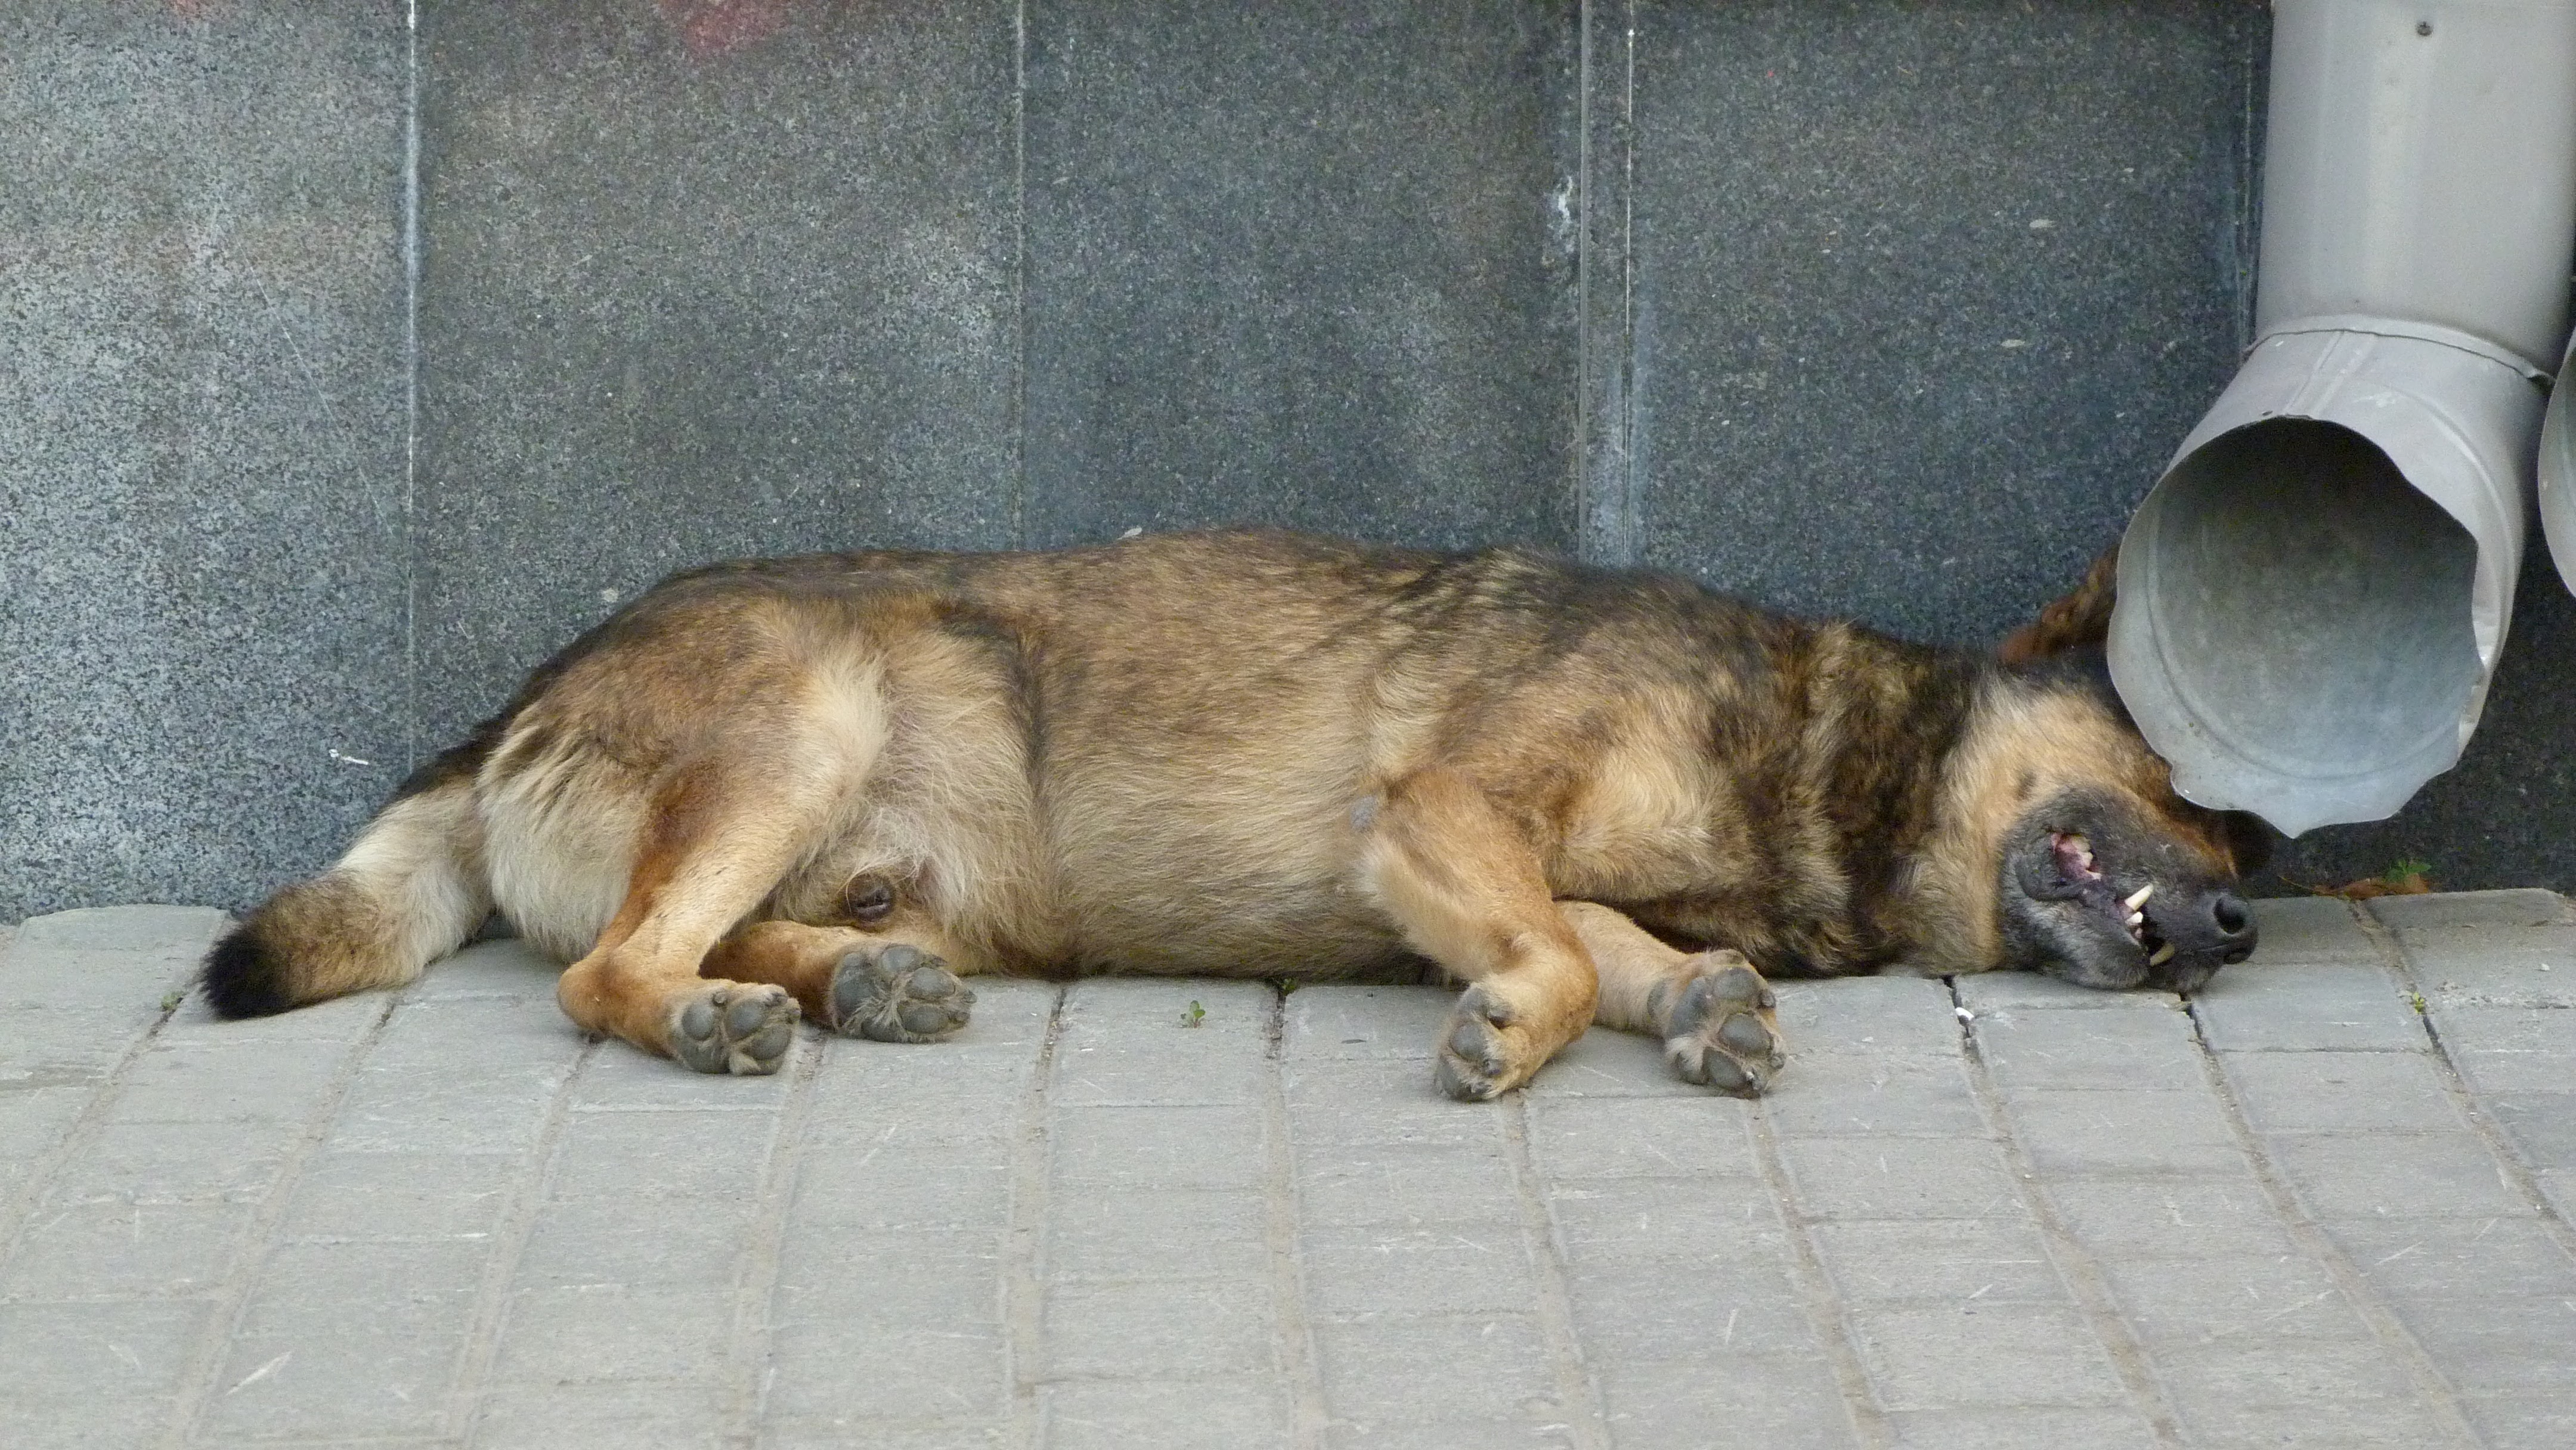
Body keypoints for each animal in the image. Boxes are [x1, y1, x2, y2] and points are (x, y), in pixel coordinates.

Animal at [202, 530, 2266, 1099]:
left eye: (2243, 842)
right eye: (2187, 788)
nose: (2244, 926)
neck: (1828, 759)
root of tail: (508, 707)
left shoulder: (1508, 862)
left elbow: (1611, 946)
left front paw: (1697, 1003)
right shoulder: (1443, 810)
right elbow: (1556, 963)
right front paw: (1531, 1028)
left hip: (908, 870)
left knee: (738, 932)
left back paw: (852, 988)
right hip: (808, 709)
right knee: (613, 967)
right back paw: (721, 1021)